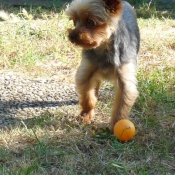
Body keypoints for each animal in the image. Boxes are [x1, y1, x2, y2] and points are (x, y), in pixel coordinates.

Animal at [65, 0, 140, 131]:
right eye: (74, 22)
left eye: (90, 22)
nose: (72, 36)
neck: (104, 47)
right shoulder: (86, 72)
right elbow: (87, 96)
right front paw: (86, 115)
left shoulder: (125, 80)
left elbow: (121, 105)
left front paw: (117, 124)